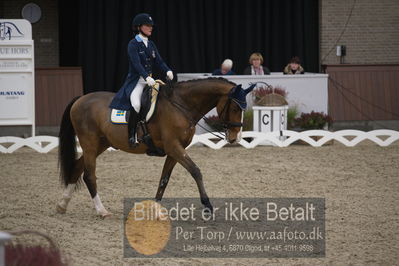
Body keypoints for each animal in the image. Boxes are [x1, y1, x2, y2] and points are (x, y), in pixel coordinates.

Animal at [55, 76, 256, 217]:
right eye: (236, 108)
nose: (235, 138)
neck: (181, 105)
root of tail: (80, 99)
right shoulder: (174, 146)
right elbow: (196, 171)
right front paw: (207, 206)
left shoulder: (174, 151)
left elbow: (164, 179)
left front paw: (156, 209)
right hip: (89, 143)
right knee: (89, 175)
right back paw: (102, 211)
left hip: (101, 144)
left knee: (77, 168)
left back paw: (62, 205)